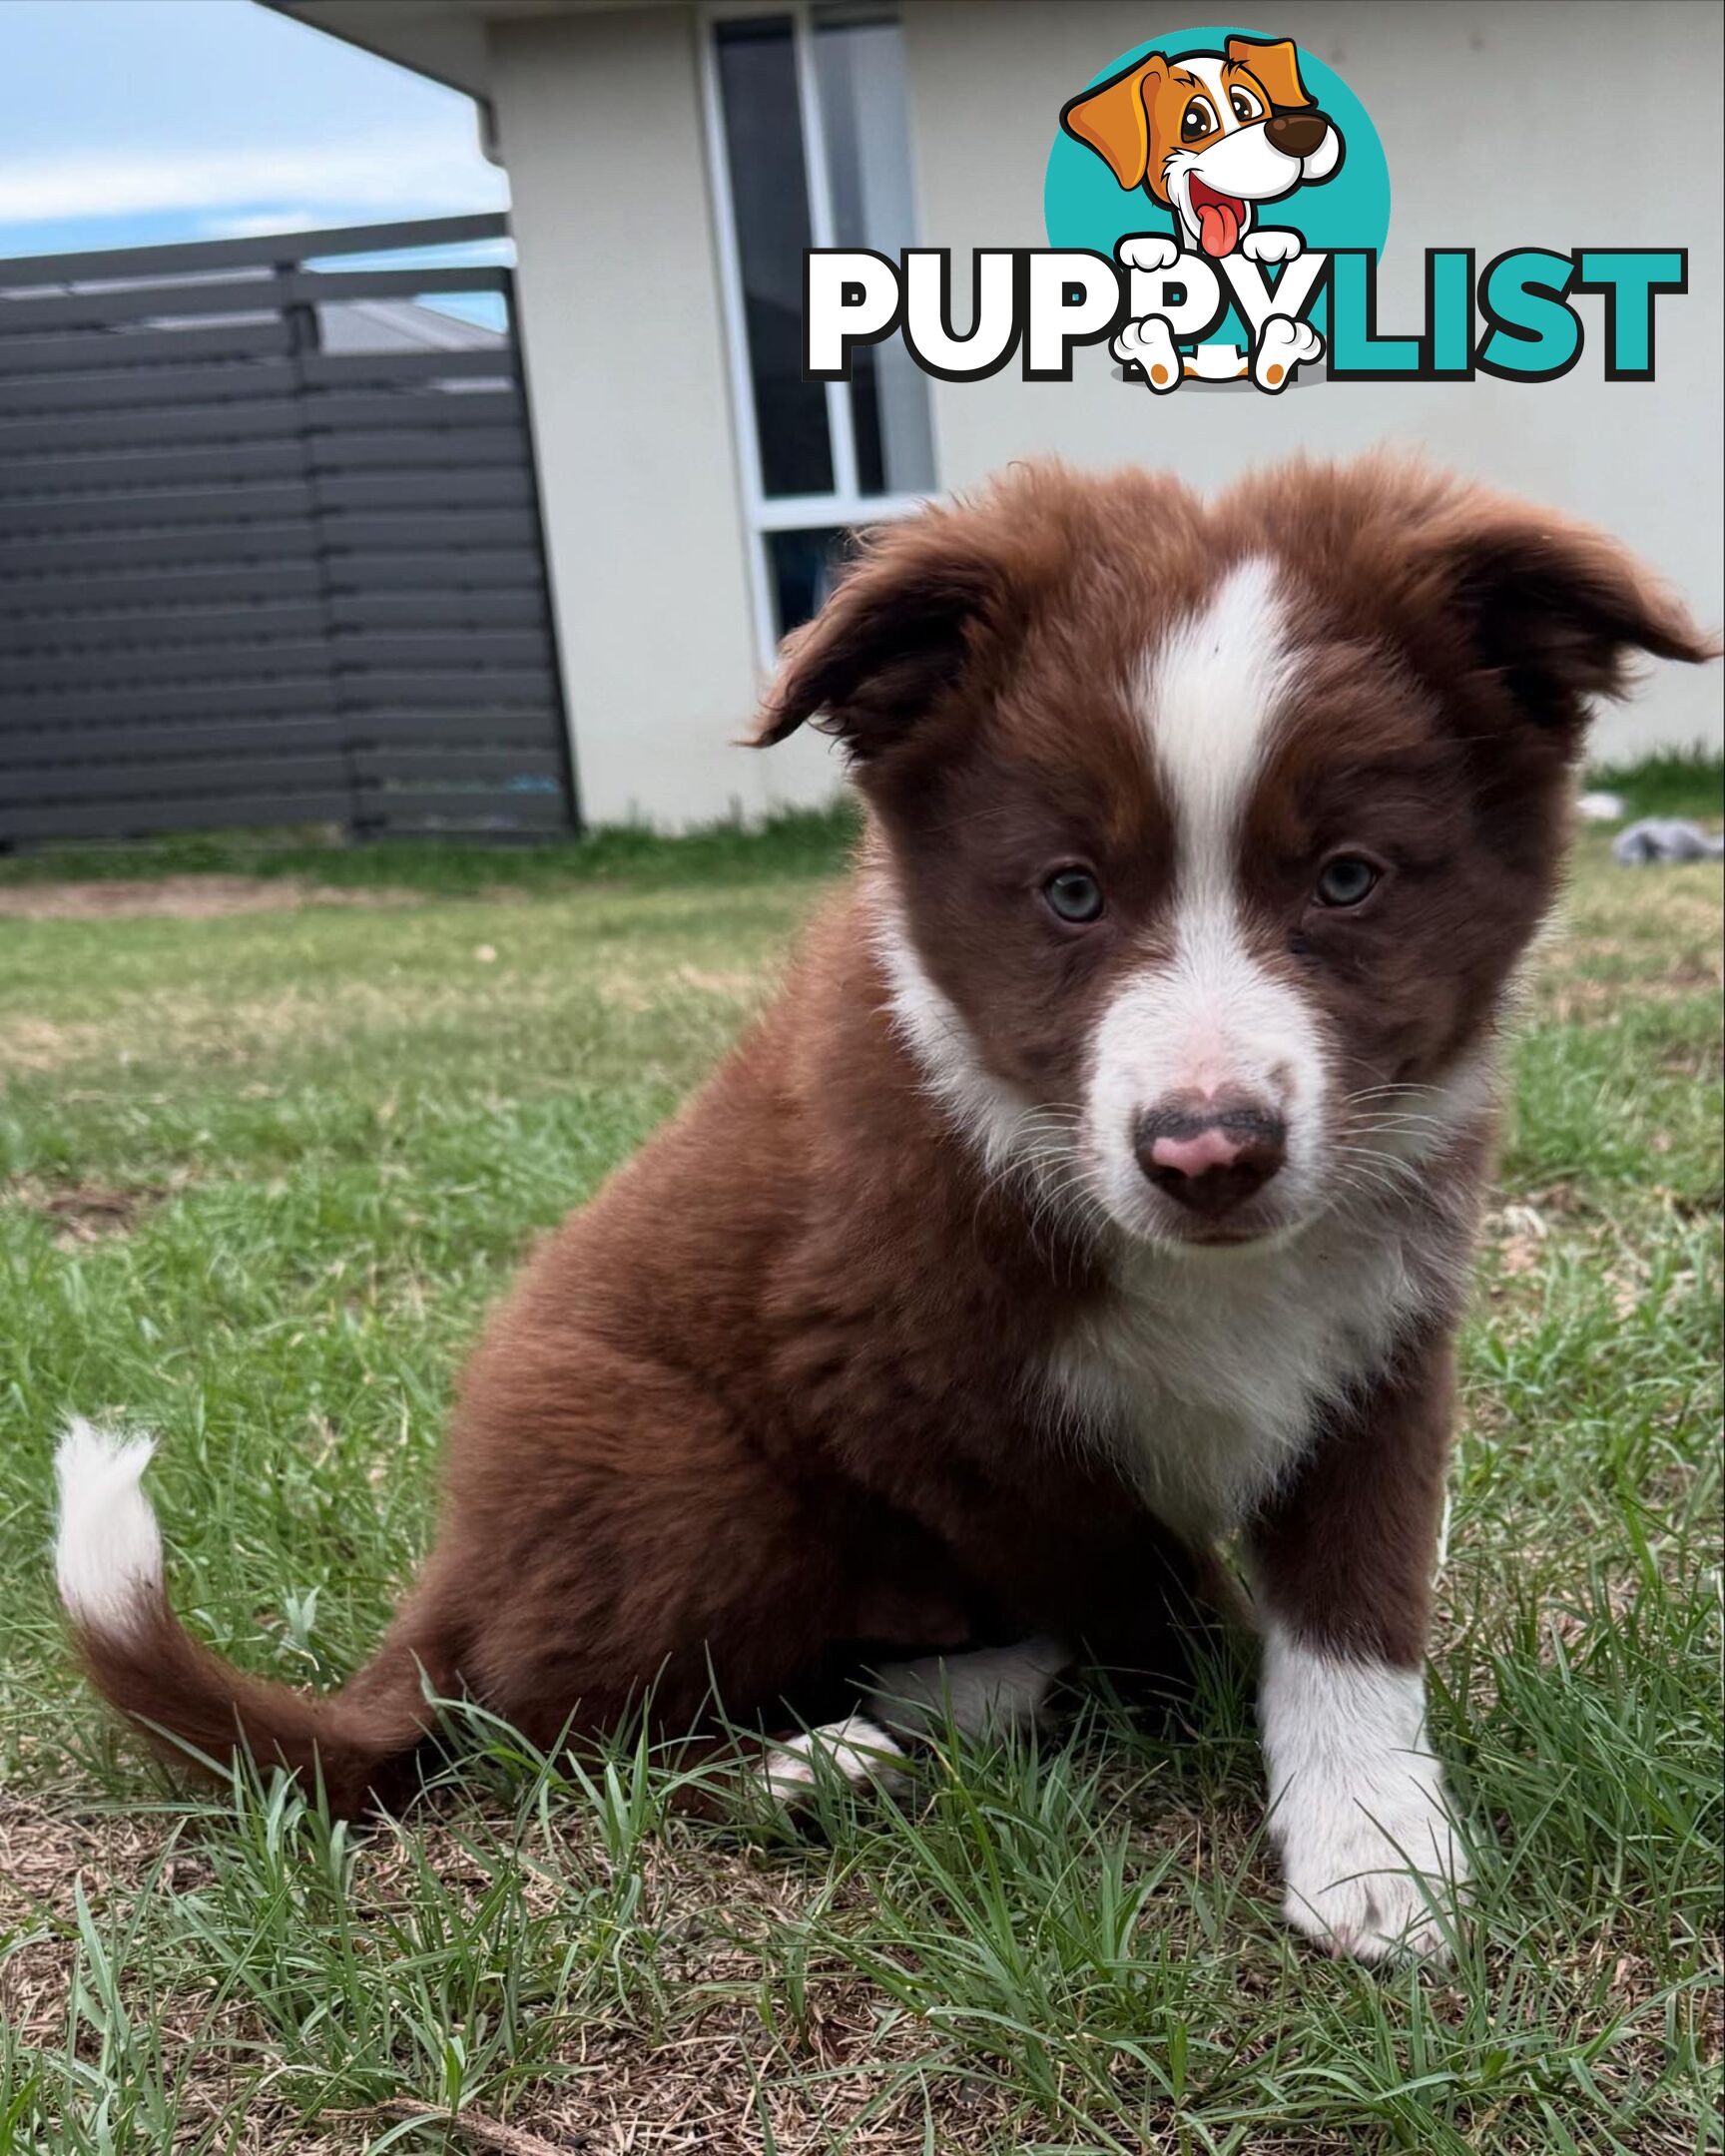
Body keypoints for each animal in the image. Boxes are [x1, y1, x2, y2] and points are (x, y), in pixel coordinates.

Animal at [57, 459, 1707, 1974]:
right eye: (1068, 894)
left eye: (1351, 881)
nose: (1208, 1152)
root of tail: (445, 1590)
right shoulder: (914, 1384)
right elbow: (1149, 1587)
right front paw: (1234, 1714)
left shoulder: (1382, 1330)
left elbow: (1354, 1601)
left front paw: (1374, 1840)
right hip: (678, 1471)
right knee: (556, 1727)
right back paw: (826, 1756)